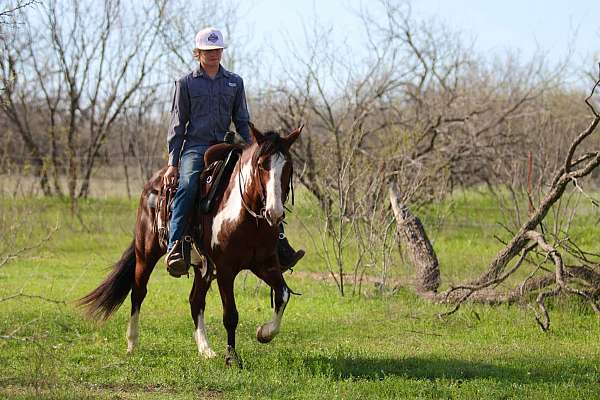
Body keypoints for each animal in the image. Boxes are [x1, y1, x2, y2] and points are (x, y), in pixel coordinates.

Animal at [79, 123, 302, 368]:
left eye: (288, 167)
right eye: (262, 165)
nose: (275, 212)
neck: (247, 219)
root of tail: (153, 182)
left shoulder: (266, 264)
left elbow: (283, 295)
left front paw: (264, 333)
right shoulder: (225, 270)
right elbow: (231, 315)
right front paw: (232, 358)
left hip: (203, 268)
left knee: (195, 301)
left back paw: (205, 350)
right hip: (146, 254)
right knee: (138, 292)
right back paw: (132, 343)